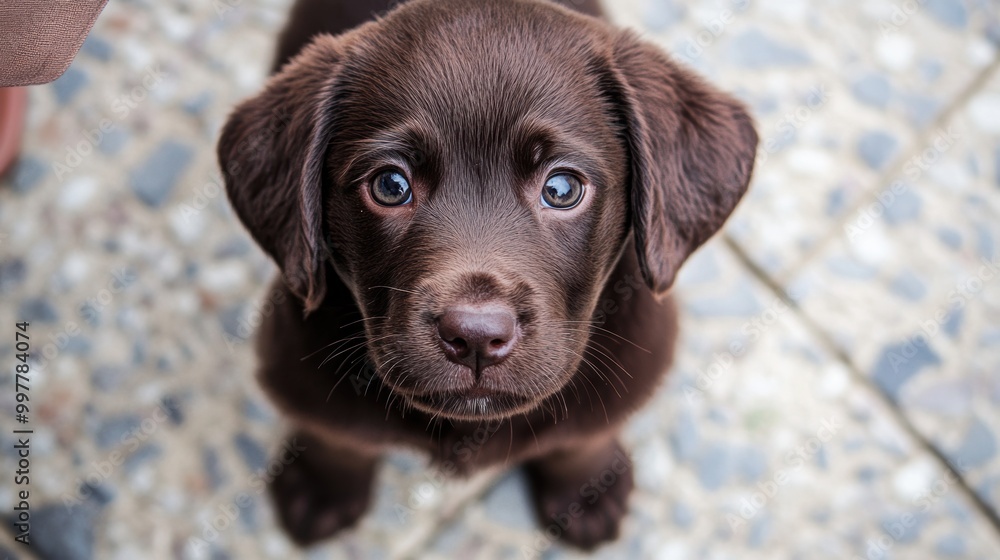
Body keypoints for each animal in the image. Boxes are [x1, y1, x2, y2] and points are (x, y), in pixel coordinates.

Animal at [217, 0, 752, 552]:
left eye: (562, 189)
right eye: (390, 185)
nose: (475, 336)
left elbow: (579, 439)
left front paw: (587, 492)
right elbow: (339, 439)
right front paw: (323, 489)